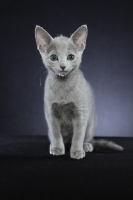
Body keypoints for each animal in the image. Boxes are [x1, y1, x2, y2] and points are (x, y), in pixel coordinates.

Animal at [34, 24, 123, 159]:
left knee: (86, 137)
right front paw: (57, 148)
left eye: (70, 57)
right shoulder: (50, 113)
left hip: (91, 122)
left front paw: (77, 151)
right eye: (54, 57)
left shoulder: (81, 112)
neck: (63, 86)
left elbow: (78, 135)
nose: (63, 66)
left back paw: (86, 146)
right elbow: (55, 133)